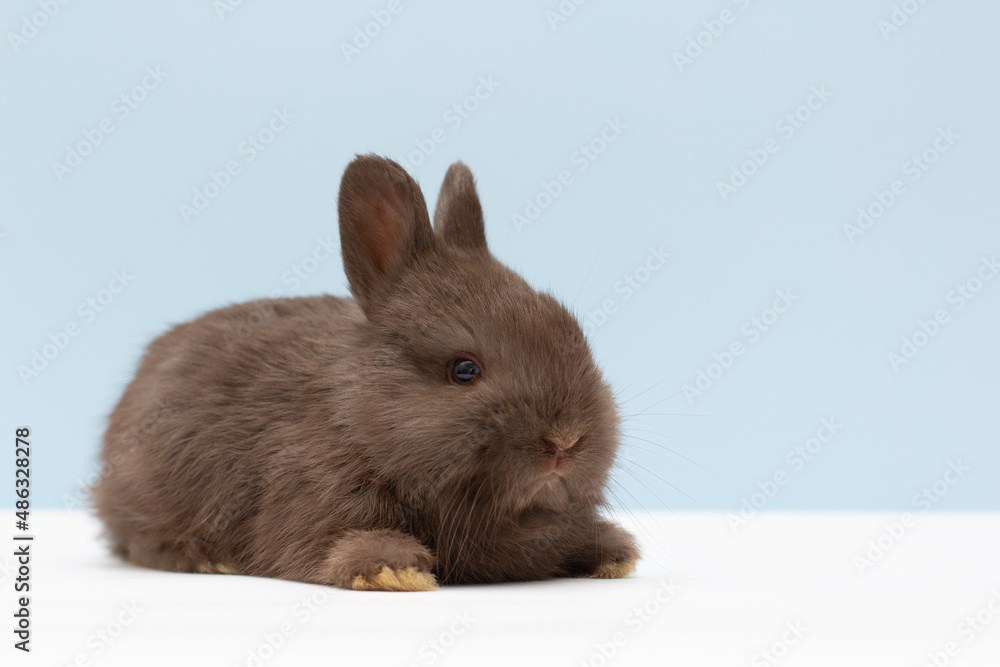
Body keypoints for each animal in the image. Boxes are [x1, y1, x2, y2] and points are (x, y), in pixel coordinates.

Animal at [92, 155, 639, 591]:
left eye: (572, 331)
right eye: (464, 370)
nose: (565, 442)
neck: (361, 423)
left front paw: (613, 552)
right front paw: (394, 569)